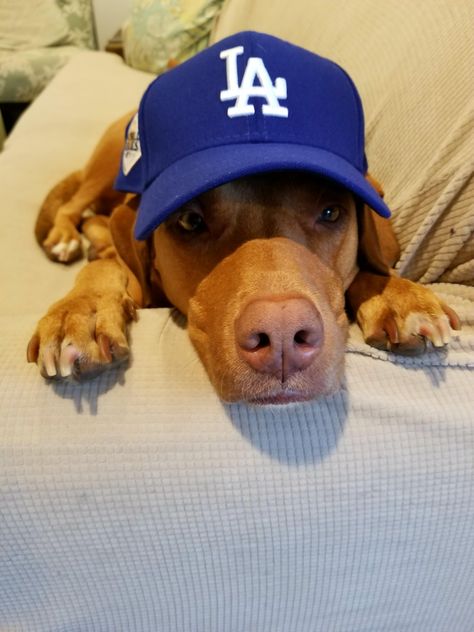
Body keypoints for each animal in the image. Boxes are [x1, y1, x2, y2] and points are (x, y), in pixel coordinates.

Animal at [25, 114, 460, 404]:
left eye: (331, 212)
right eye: (190, 220)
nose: (282, 339)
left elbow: (365, 275)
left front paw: (397, 295)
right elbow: (104, 271)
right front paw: (79, 313)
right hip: (106, 167)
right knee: (76, 207)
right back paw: (67, 238)